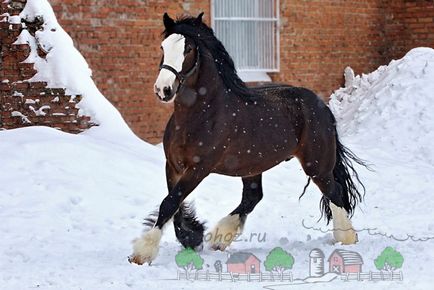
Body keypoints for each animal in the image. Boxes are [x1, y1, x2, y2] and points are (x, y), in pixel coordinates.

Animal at [127, 12, 364, 266]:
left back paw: (346, 239)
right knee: (253, 197)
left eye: (188, 49)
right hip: (253, 166)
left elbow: (170, 202)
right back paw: (219, 238)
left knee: (335, 193)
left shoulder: (198, 168)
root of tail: (321, 105)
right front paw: (192, 237)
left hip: (316, 166)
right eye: (163, 46)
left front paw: (142, 253)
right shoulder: (172, 166)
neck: (202, 114)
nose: (163, 89)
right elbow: (174, 204)